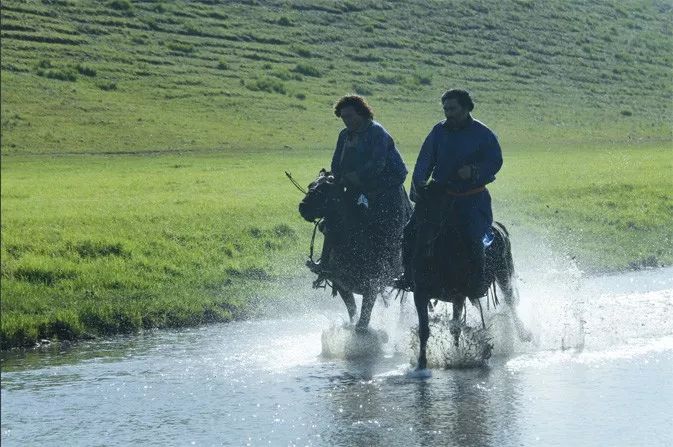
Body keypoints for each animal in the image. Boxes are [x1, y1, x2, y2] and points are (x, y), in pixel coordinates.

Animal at [298, 170, 410, 330]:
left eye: (324, 188)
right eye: (311, 185)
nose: (303, 207)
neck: (353, 245)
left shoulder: (371, 288)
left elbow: (362, 324)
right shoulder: (342, 286)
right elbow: (353, 314)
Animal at [410, 183, 532, 372]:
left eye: (440, 209)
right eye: (418, 208)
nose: (425, 242)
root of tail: (498, 227)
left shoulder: (458, 295)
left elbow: (455, 327)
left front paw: (456, 356)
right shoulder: (420, 294)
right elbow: (424, 329)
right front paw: (421, 363)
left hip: (503, 274)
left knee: (510, 301)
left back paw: (523, 333)